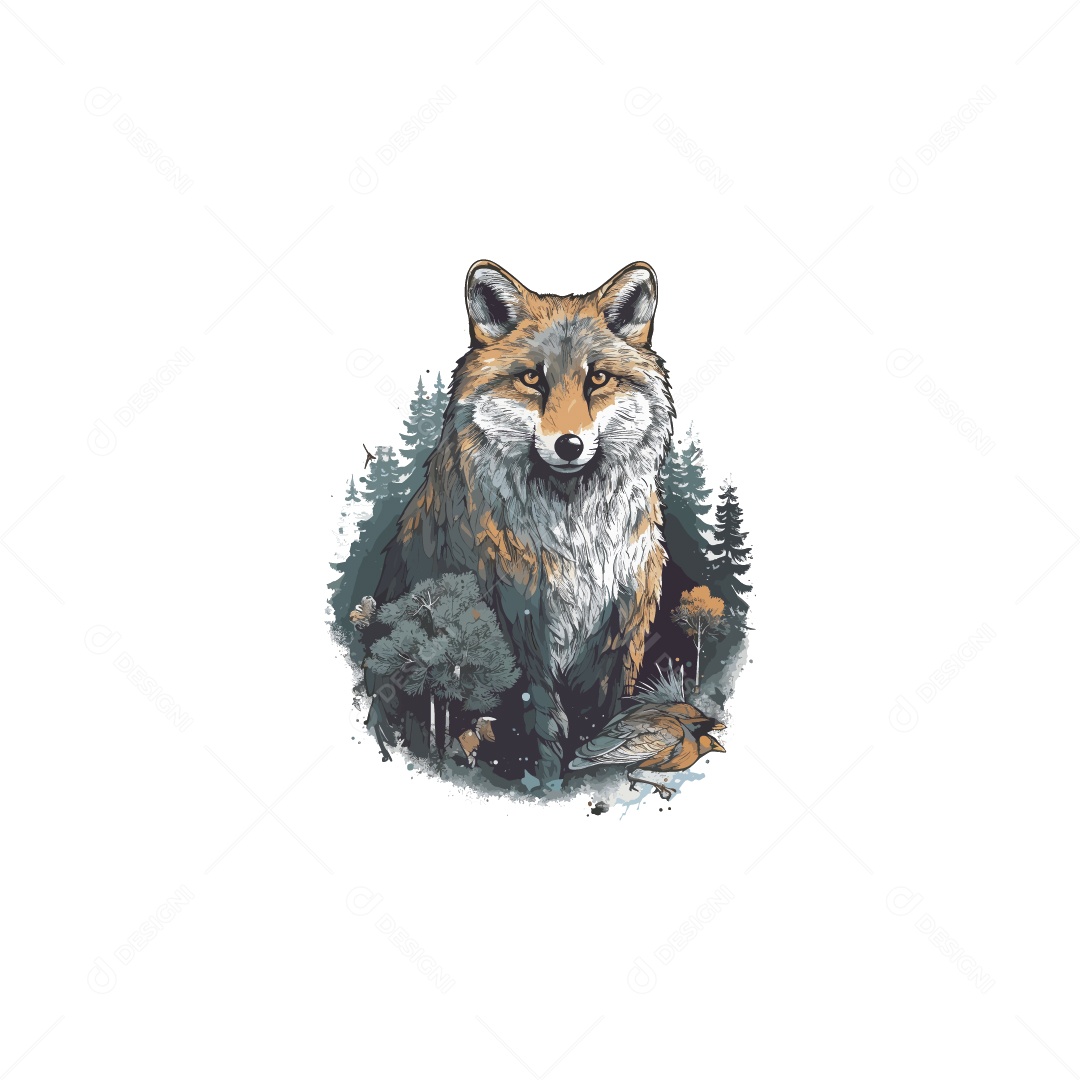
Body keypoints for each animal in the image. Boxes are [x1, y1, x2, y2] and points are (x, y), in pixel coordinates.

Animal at [369, 260, 675, 783]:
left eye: (597, 379)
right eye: (533, 379)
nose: (569, 445)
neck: (577, 543)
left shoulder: (623, 632)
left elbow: (608, 715)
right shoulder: (520, 628)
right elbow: (544, 726)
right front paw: (548, 784)